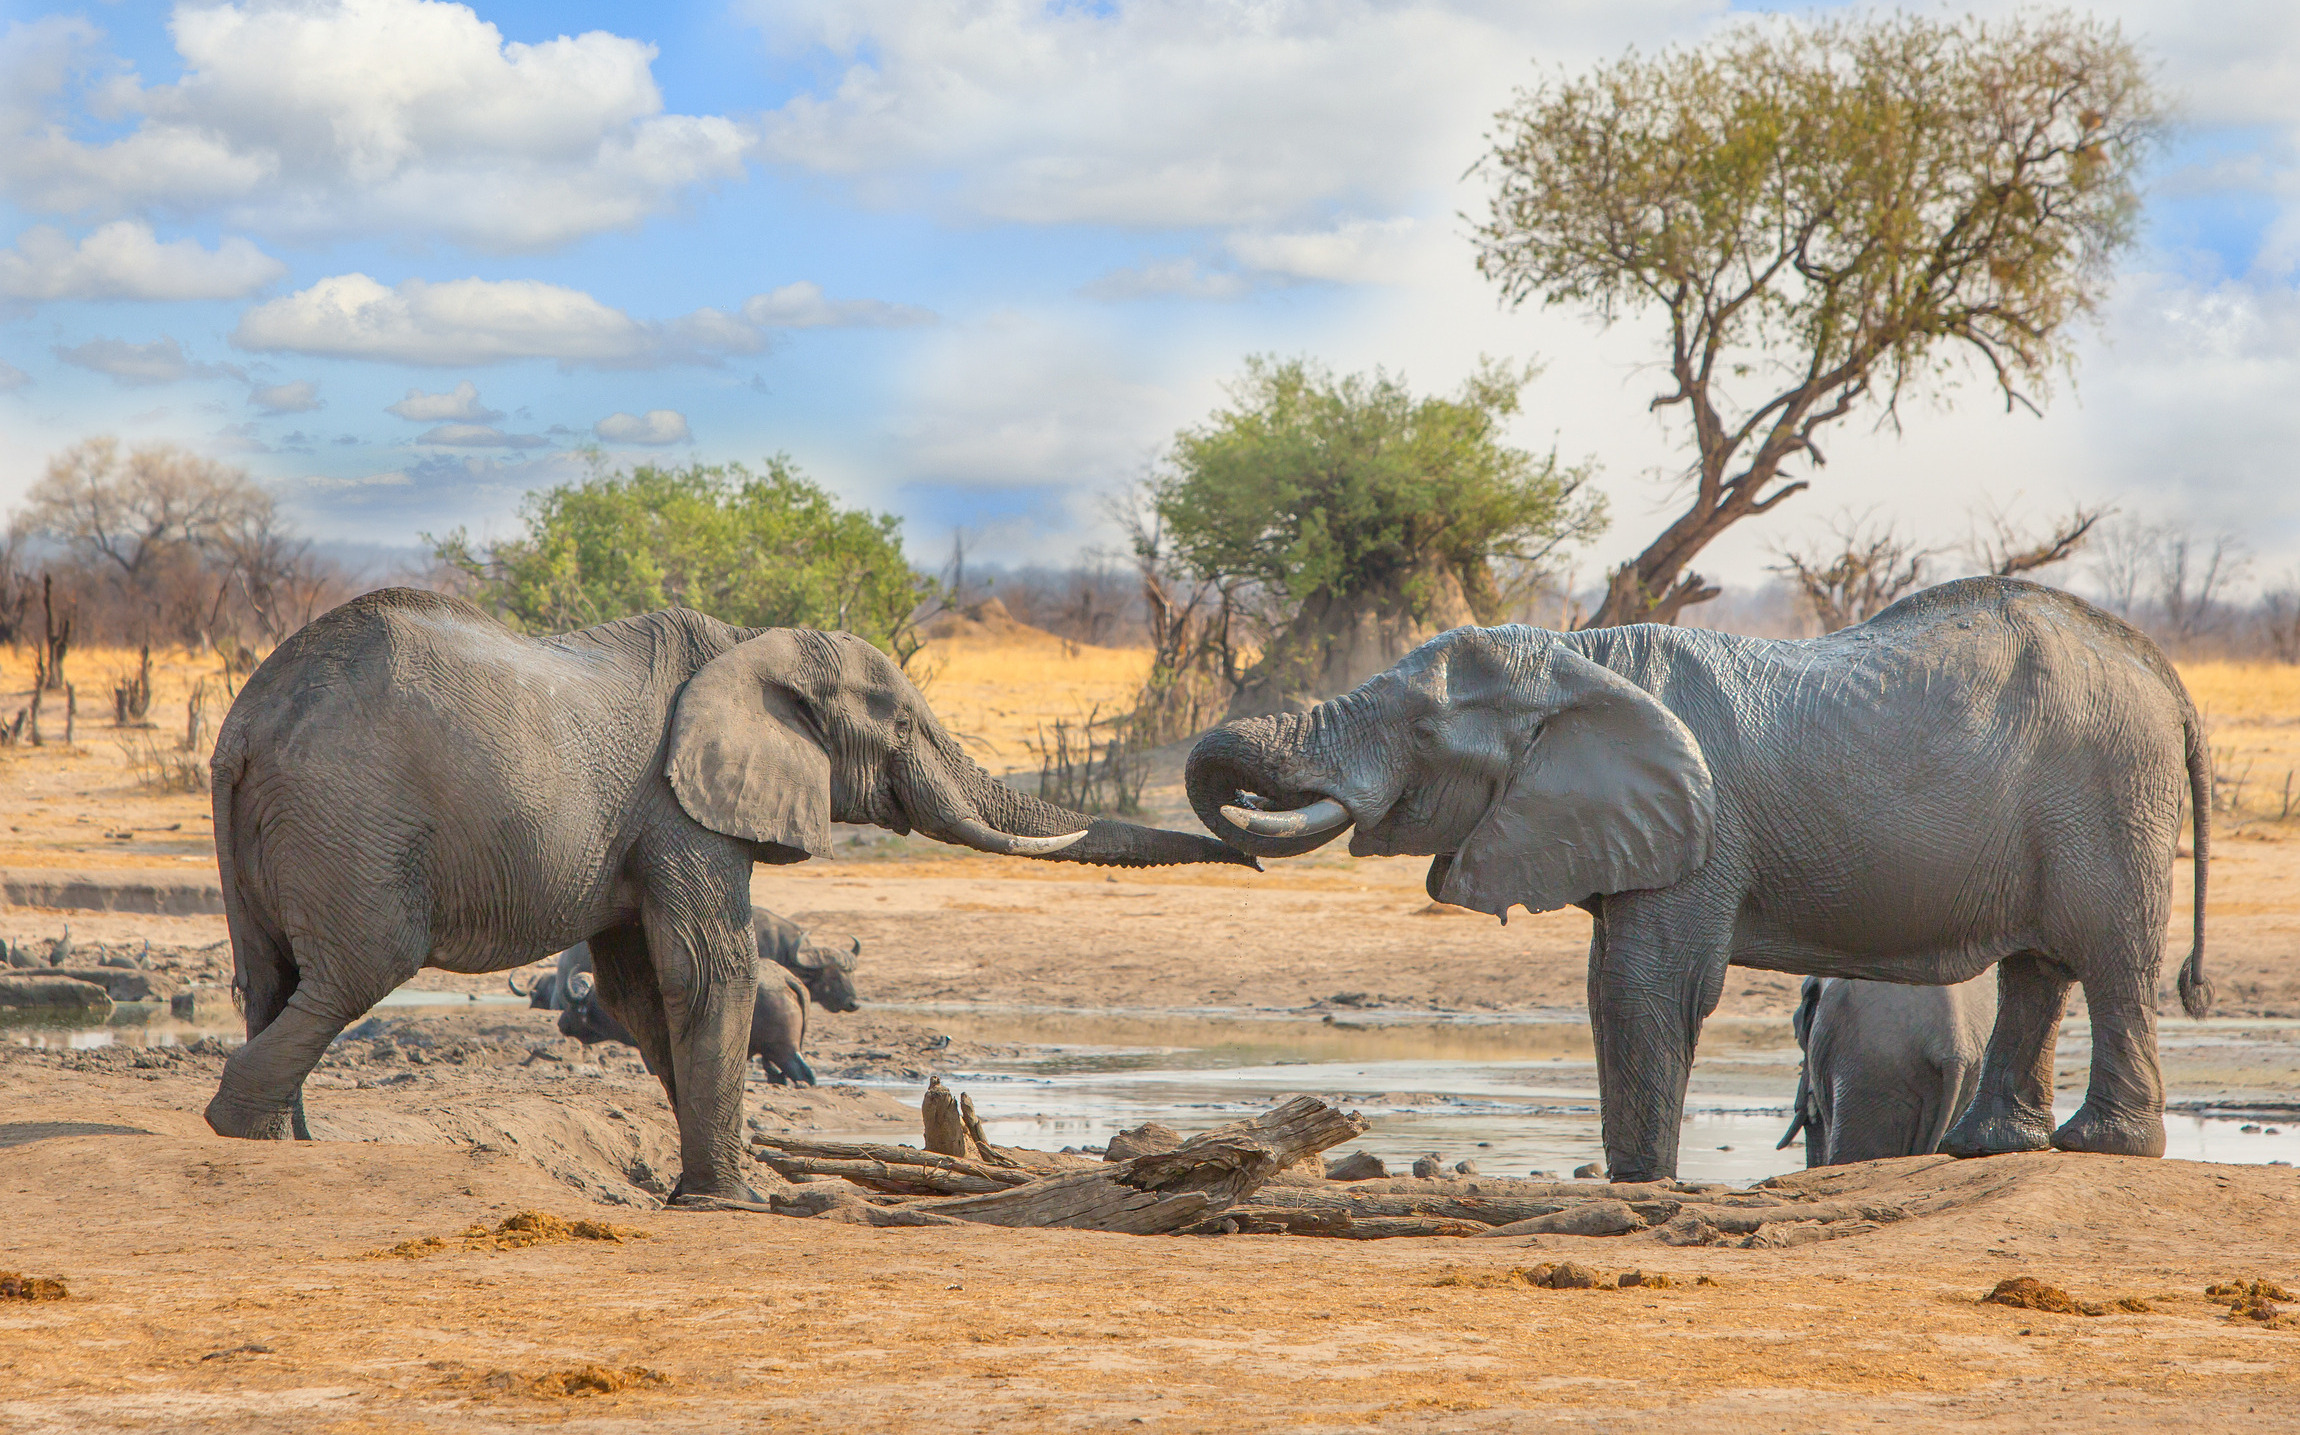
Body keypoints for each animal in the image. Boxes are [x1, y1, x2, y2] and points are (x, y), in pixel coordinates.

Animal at [206, 588, 1253, 1209]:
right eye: (902, 725)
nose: (1250, 856)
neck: (755, 647)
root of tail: (251, 718)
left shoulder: (645, 827)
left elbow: (640, 989)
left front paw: (713, 1188)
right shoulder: (683, 807)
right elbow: (711, 967)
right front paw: (737, 1203)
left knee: (273, 978)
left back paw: (286, 1139)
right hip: (351, 817)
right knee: (356, 969)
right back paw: (240, 1127)